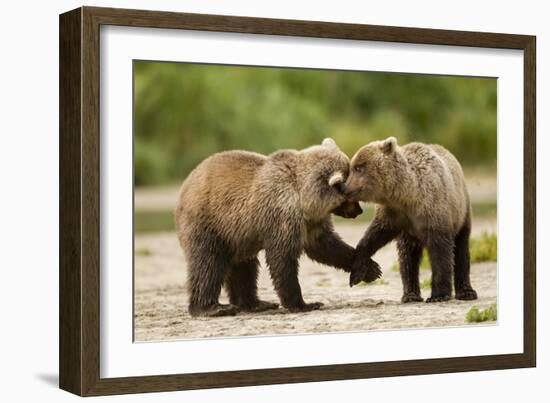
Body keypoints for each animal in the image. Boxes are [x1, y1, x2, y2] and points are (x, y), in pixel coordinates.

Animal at [175, 140, 382, 318]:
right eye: (350, 194)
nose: (359, 211)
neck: (305, 200)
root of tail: (185, 185)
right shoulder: (281, 215)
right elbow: (282, 258)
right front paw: (304, 304)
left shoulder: (312, 223)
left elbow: (327, 247)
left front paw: (370, 268)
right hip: (209, 223)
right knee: (208, 263)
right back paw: (213, 308)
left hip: (237, 236)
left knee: (244, 267)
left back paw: (256, 303)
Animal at [350, 137, 478, 304]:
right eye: (353, 166)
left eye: (359, 167)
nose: (343, 186)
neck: (408, 195)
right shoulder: (394, 215)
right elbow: (375, 235)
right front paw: (357, 270)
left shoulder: (434, 211)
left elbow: (441, 252)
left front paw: (439, 295)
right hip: (411, 235)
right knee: (408, 258)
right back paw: (410, 295)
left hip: (461, 212)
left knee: (461, 249)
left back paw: (467, 292)